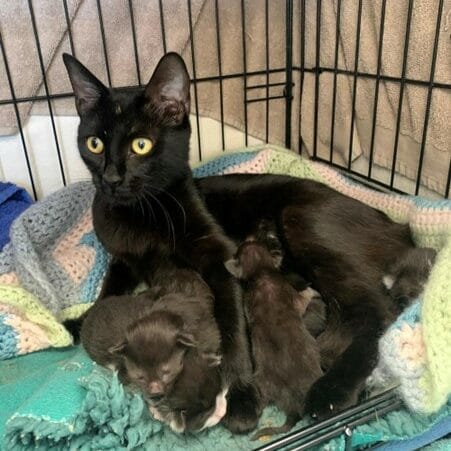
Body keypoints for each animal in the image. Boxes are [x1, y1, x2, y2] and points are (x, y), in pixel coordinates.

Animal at [224, 242, 324, 440]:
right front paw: (313, 290)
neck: (261, 272)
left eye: (250, 243)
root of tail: (292, 407)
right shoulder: (293, 295)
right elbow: (304, 298)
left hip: (262, 385)